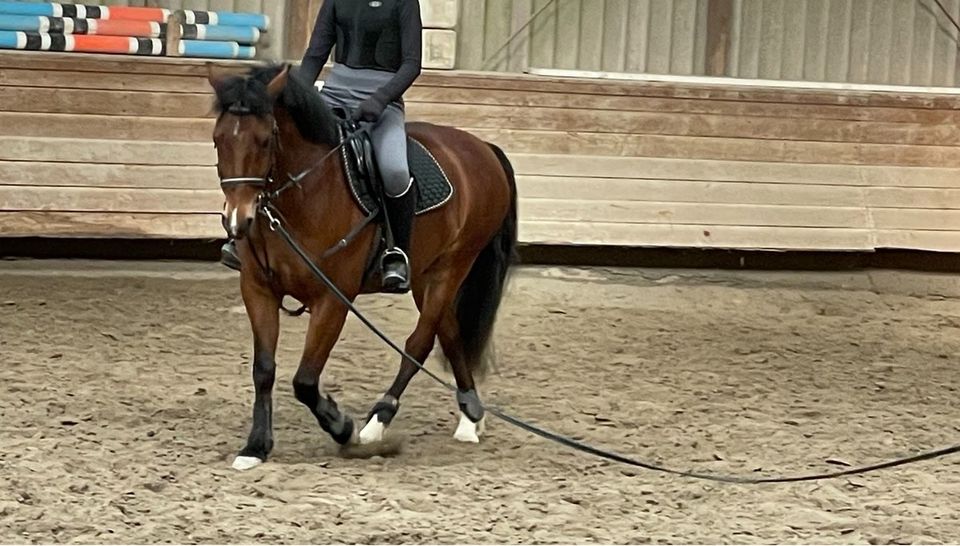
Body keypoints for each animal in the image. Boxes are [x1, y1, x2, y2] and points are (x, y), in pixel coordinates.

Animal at [203, 60, 516, 468]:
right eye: (218, 139)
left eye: (265, 140)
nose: (237, 221)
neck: (306, 194)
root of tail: (482, 148)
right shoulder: (258, 289)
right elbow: (264, 370)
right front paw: (255, 447)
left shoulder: (332, 299)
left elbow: (305, 380)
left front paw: (343, 428)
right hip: (426, 275)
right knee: (448, 332)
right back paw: (470, 416)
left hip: (454, 265)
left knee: (419, 343)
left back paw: (377, 423)